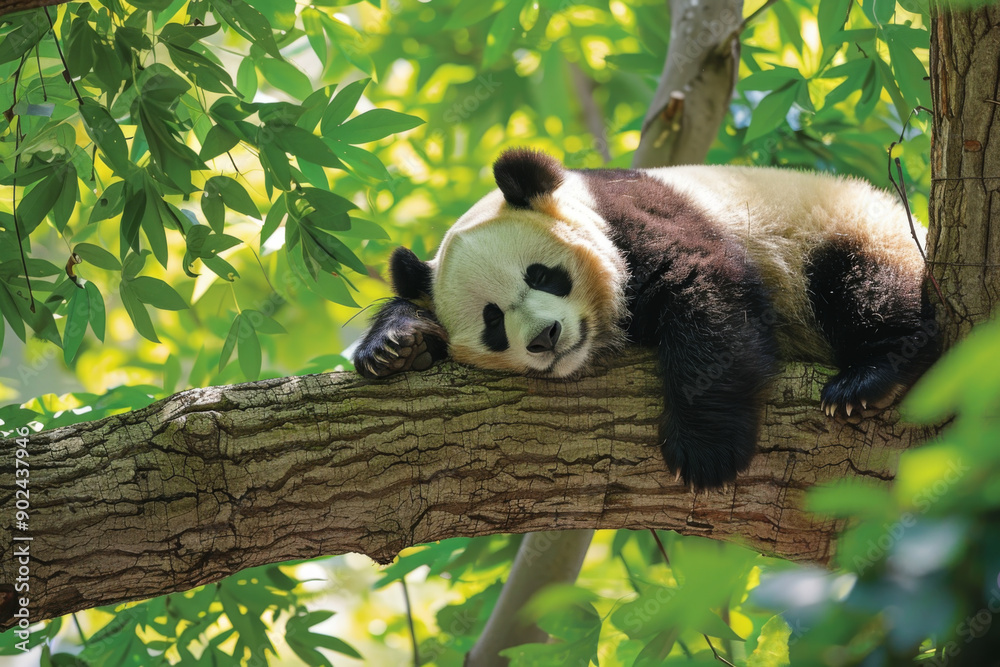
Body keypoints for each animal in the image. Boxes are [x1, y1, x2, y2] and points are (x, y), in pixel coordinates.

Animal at [353, 148, 940, 489]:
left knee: (867, 284)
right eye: (492, 322)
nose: (546, 337)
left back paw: (866, 379)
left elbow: (704, 287)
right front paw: (396, 345)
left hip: (850, 228)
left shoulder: (636, 218)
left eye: (543, 275)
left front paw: (705, 453)